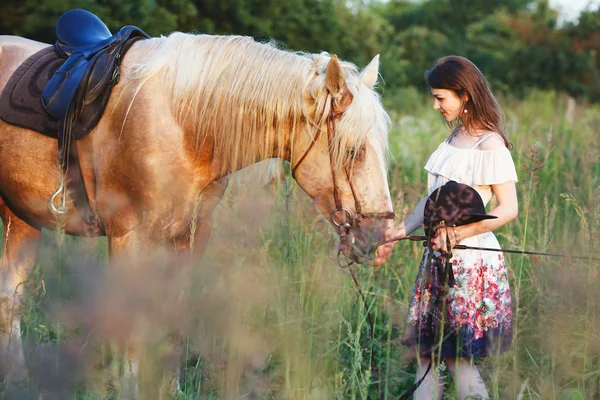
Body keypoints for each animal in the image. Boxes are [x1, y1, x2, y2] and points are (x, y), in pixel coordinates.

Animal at [0, 25, 396, 396]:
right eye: (353, 151)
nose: (382, 238)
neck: (183, 122)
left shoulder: (190, 236)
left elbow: (176, 317)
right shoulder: (129, 237)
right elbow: (129, 327)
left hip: (22, 220)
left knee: (11, 296)